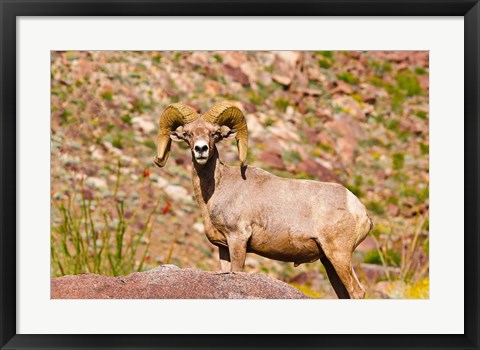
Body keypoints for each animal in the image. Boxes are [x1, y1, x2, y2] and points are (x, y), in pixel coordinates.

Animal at [156, 101, 374, 298]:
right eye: (187, 134)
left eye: (215, 134)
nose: (201, 149)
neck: (217, 188)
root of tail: (360, 210)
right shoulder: (223, 247)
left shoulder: (238, 239)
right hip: (328, 261)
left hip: (339, 255)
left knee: (357, 291)